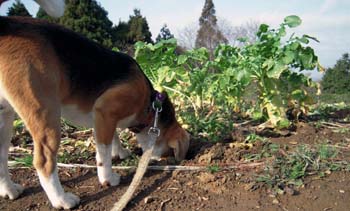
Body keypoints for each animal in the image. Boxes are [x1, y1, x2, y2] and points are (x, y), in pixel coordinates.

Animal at [0, 15, 189, 209]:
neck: (150, 105)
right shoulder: (105, 109)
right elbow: (103, 151)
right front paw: (108, 178)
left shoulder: (104, 117)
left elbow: (113, 137)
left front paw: (120, 152)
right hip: (46, 113)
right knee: (44, 162)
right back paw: (62, 199)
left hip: (5, 118)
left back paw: (9, 190)